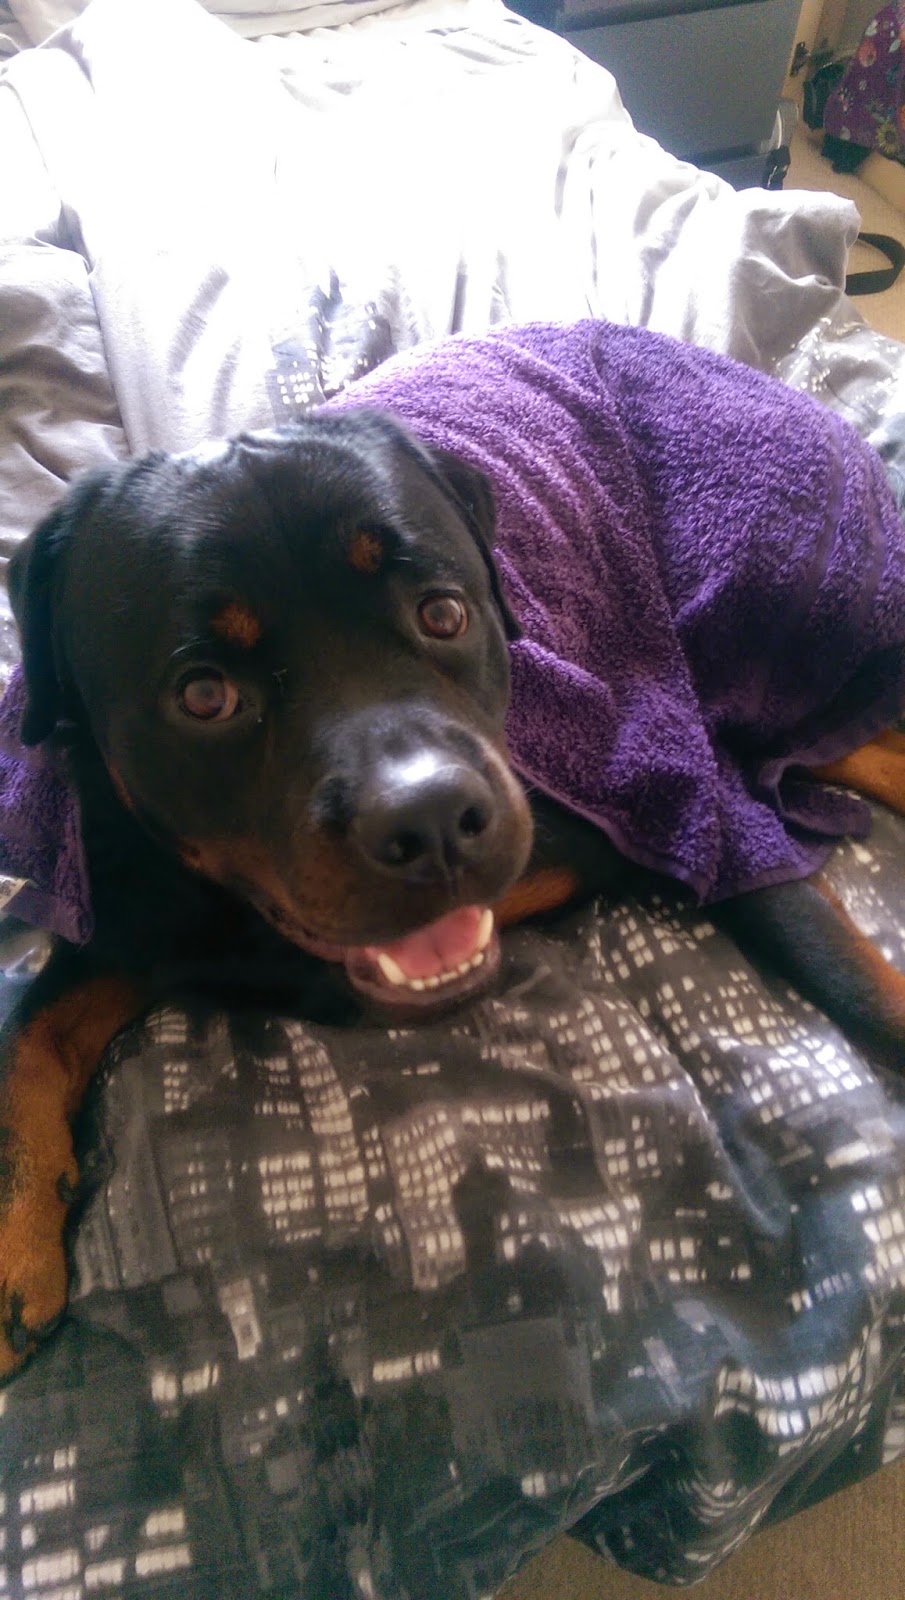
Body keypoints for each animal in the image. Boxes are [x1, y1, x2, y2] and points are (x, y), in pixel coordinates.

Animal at [1, 329, 905, 1379]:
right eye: (203, 694)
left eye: (442, 613)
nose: (430, 816)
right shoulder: (126, 914)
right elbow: (27, 1033)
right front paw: (11, 1254)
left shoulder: (696, 800)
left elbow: (847, 974)